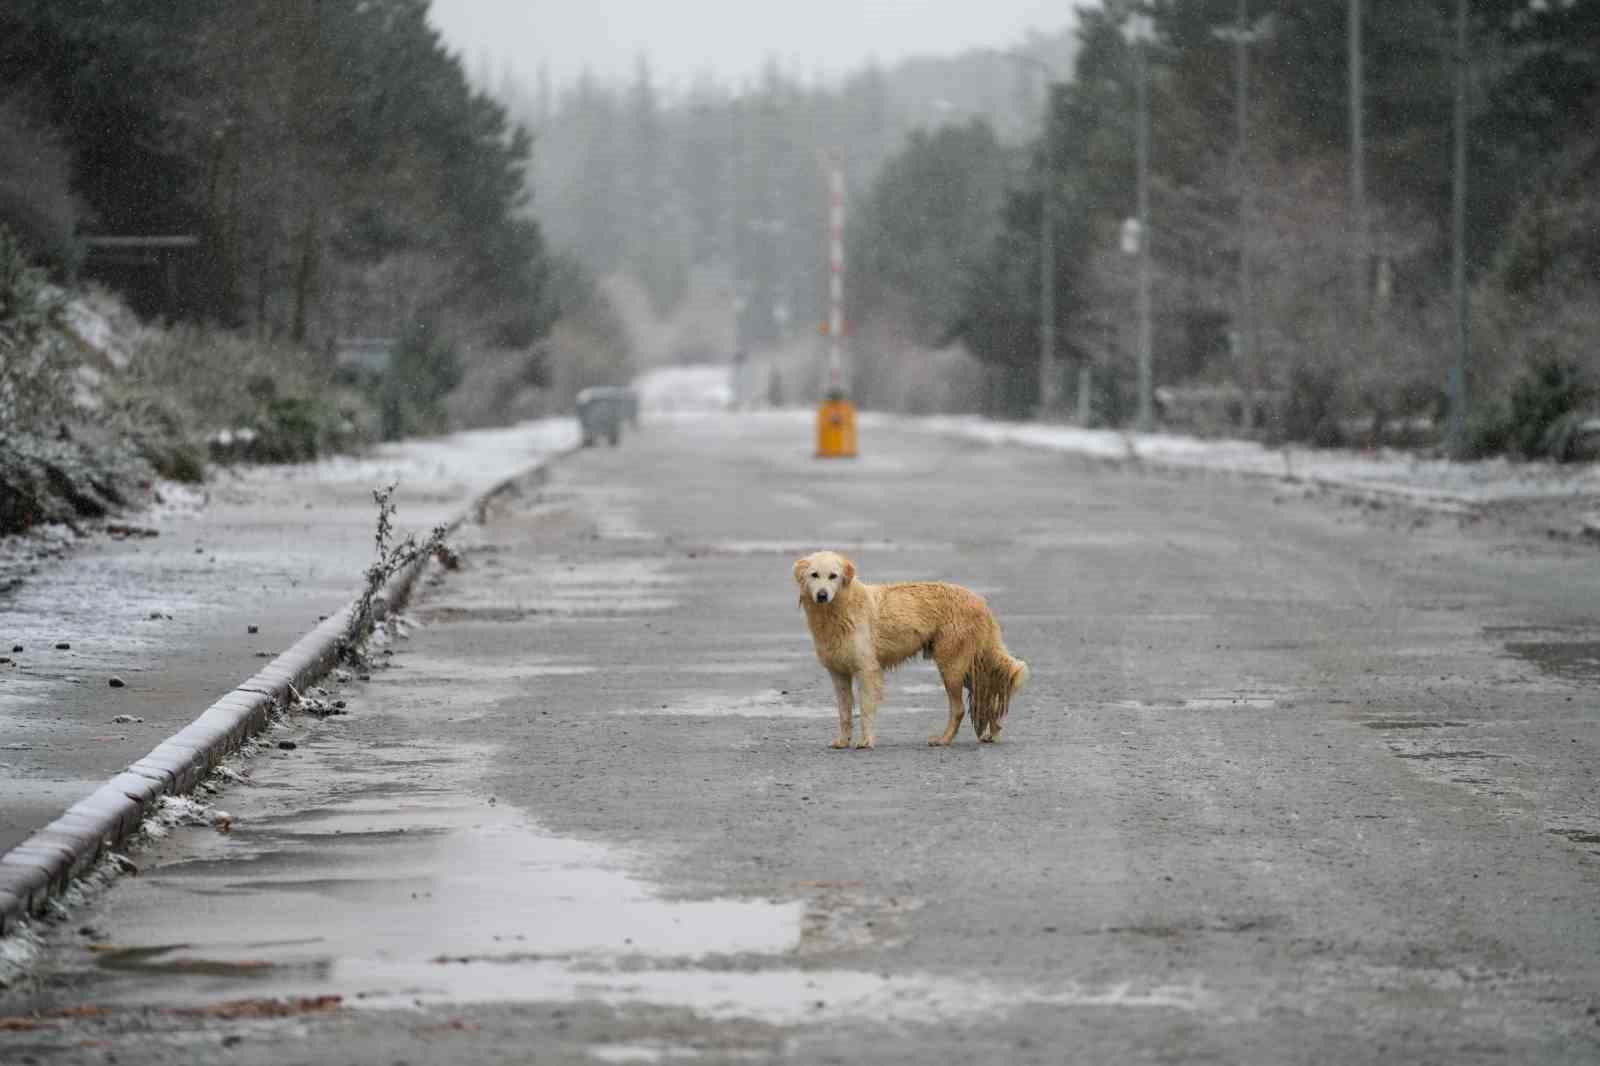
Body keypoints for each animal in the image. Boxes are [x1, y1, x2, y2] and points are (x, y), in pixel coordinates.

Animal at [793, 547, 1030, 745]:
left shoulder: (867, 670)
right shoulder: (838, 674)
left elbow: (866, 710)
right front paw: (843, 742)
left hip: (951, 668)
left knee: (960, 709)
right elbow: (844, 713)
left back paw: (944, 739)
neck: (838, 611)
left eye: (833, 576)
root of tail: (980, 601)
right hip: (966, 669)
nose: (822, 595)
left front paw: (866, 741)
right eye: (814, 575)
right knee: (989, 695)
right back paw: (992, 734)